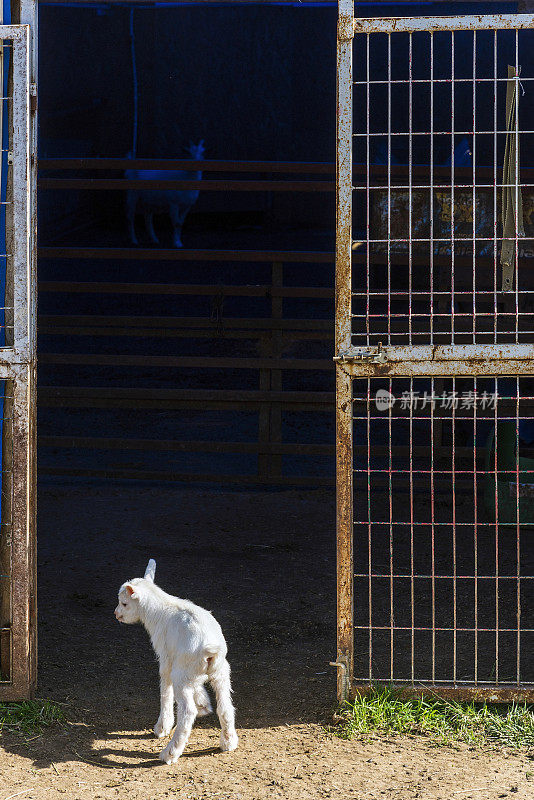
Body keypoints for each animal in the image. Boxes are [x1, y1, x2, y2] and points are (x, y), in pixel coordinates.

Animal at [115, 560, 239, 764]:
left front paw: (162, 727)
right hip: (219, 671)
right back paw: (228, 742)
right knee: (225, 705)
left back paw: (170, 753)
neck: (158, 610)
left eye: (124, 603)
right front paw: (203, 703)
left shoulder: (166, 658)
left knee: (187, 711)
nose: (116, 614)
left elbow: (165, 690)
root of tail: (210, 649)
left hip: (182, 673)